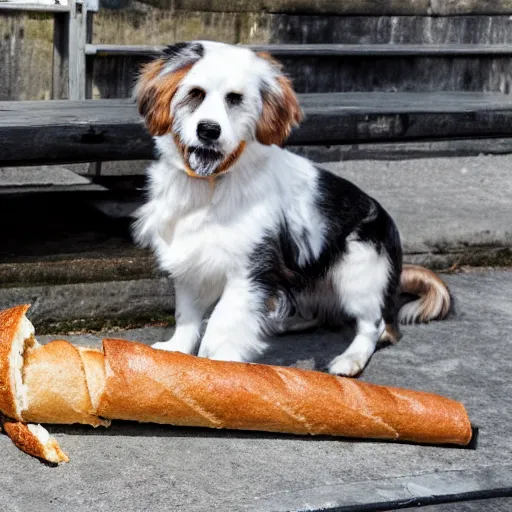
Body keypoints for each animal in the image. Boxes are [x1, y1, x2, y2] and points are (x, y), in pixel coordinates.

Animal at [131, 41, 448, 376]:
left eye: (235, 99)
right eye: (195, 93)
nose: (208, 130)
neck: (211, 187)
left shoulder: (249, 270)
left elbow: (223, 323)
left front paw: (220, 364)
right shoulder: (189, 260)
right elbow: (186, 316)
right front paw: (177, 349)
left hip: (358, 271)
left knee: (374, 327)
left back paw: (350, 359)